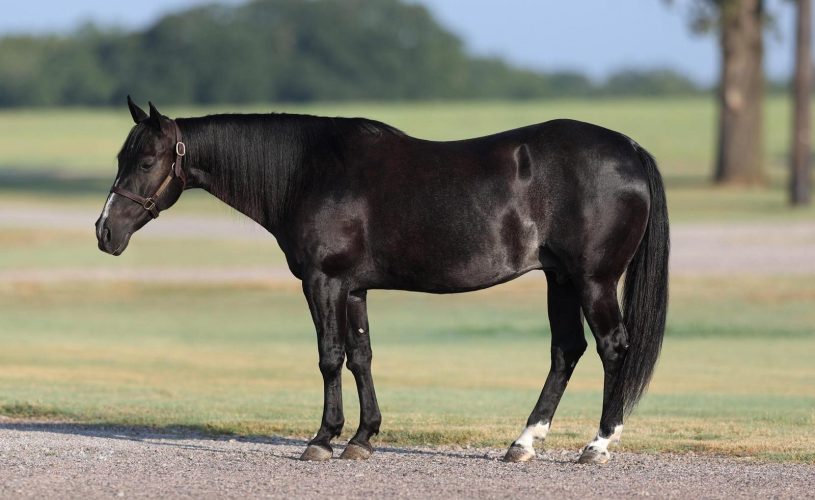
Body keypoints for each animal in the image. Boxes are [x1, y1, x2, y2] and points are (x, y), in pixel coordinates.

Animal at [97, 97, 668, 464]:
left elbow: (330, 357)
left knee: (612, 347)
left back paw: (598, 445)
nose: (104, 231)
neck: (309, 171)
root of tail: (630, 149)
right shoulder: (353, 287)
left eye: (145, 161)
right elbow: (361, 357)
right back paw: (522, 443)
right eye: (122, 157)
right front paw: (362, 438)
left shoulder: (323, 282)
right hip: (559, 280)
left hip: (593, 280)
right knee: (566, 351)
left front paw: (322, 440)